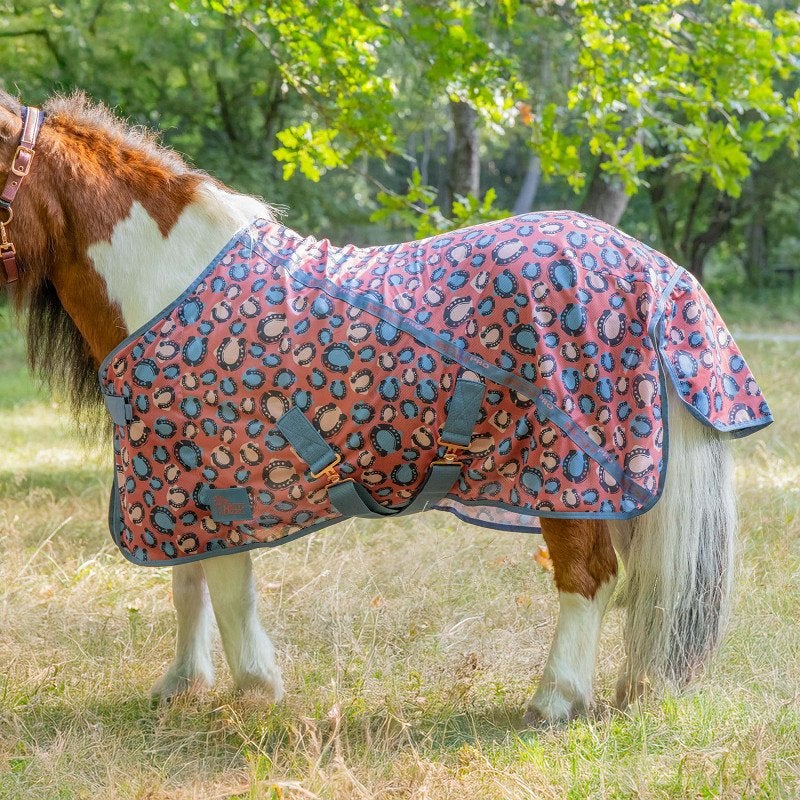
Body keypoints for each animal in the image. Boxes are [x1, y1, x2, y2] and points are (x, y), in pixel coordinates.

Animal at [0, 91, 771, 726]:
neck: (165, 276)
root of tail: (653, 267)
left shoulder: (218, 484)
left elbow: (227, 588)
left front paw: (255, 690)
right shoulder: (180, 488)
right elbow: (189, 584)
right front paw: (182, 685)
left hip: (568, 479)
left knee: (589, 579)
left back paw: (554, 699)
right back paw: (630, 689)